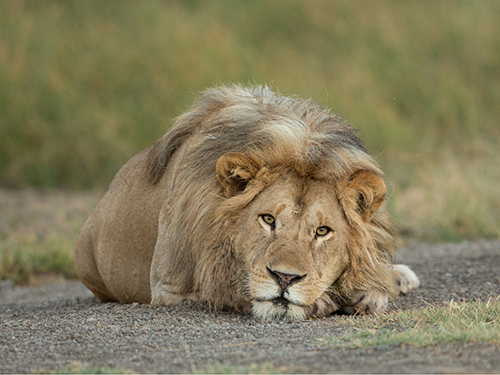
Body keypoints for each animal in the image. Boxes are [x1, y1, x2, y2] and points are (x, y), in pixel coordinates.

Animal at [74, 86, 418, 322]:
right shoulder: (168, 287)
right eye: (268, 219)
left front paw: (371, 291)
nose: (285, 278)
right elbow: (231, 288)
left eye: (322, 231)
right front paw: (328, 300)